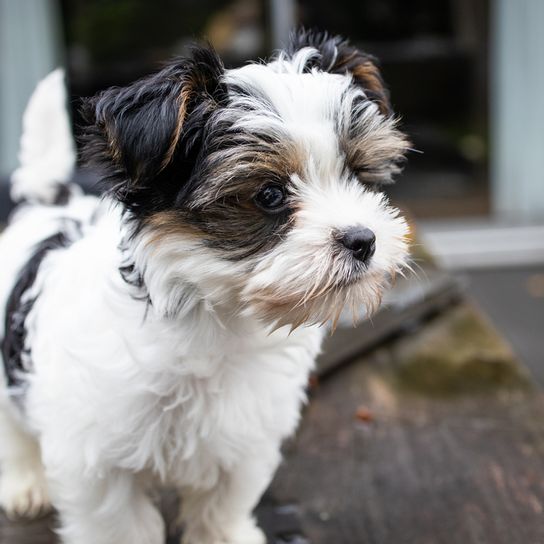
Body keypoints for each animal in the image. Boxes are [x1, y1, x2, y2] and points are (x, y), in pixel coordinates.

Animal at [0, 30, 408, 544]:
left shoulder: (242, 438)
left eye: (354, 173)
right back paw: (24, 484)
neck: (216, 317)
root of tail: (45, 205)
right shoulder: (95, 457)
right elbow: (118, 522)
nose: (363, 239)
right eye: (269, 195)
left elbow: (222, 502)